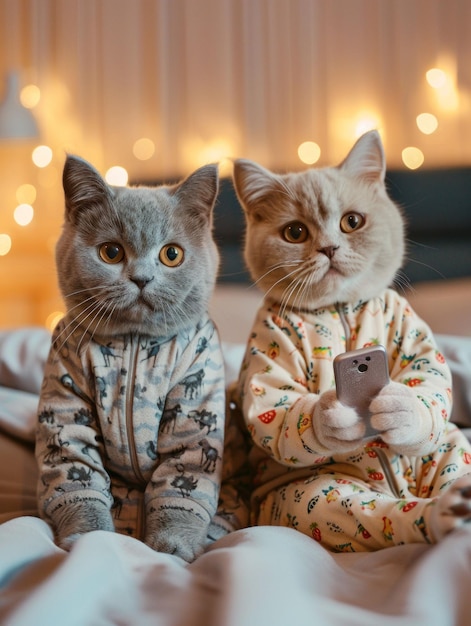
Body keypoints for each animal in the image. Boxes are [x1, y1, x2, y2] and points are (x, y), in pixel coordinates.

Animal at [36, 156, 227, 560]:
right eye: (111, 252)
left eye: (172, 254)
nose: (141, 279)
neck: (136, 340)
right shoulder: (64, 387)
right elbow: (75, 460)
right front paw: (88, 539)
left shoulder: (199, 388)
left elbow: (182, 468)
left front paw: (172, 547)